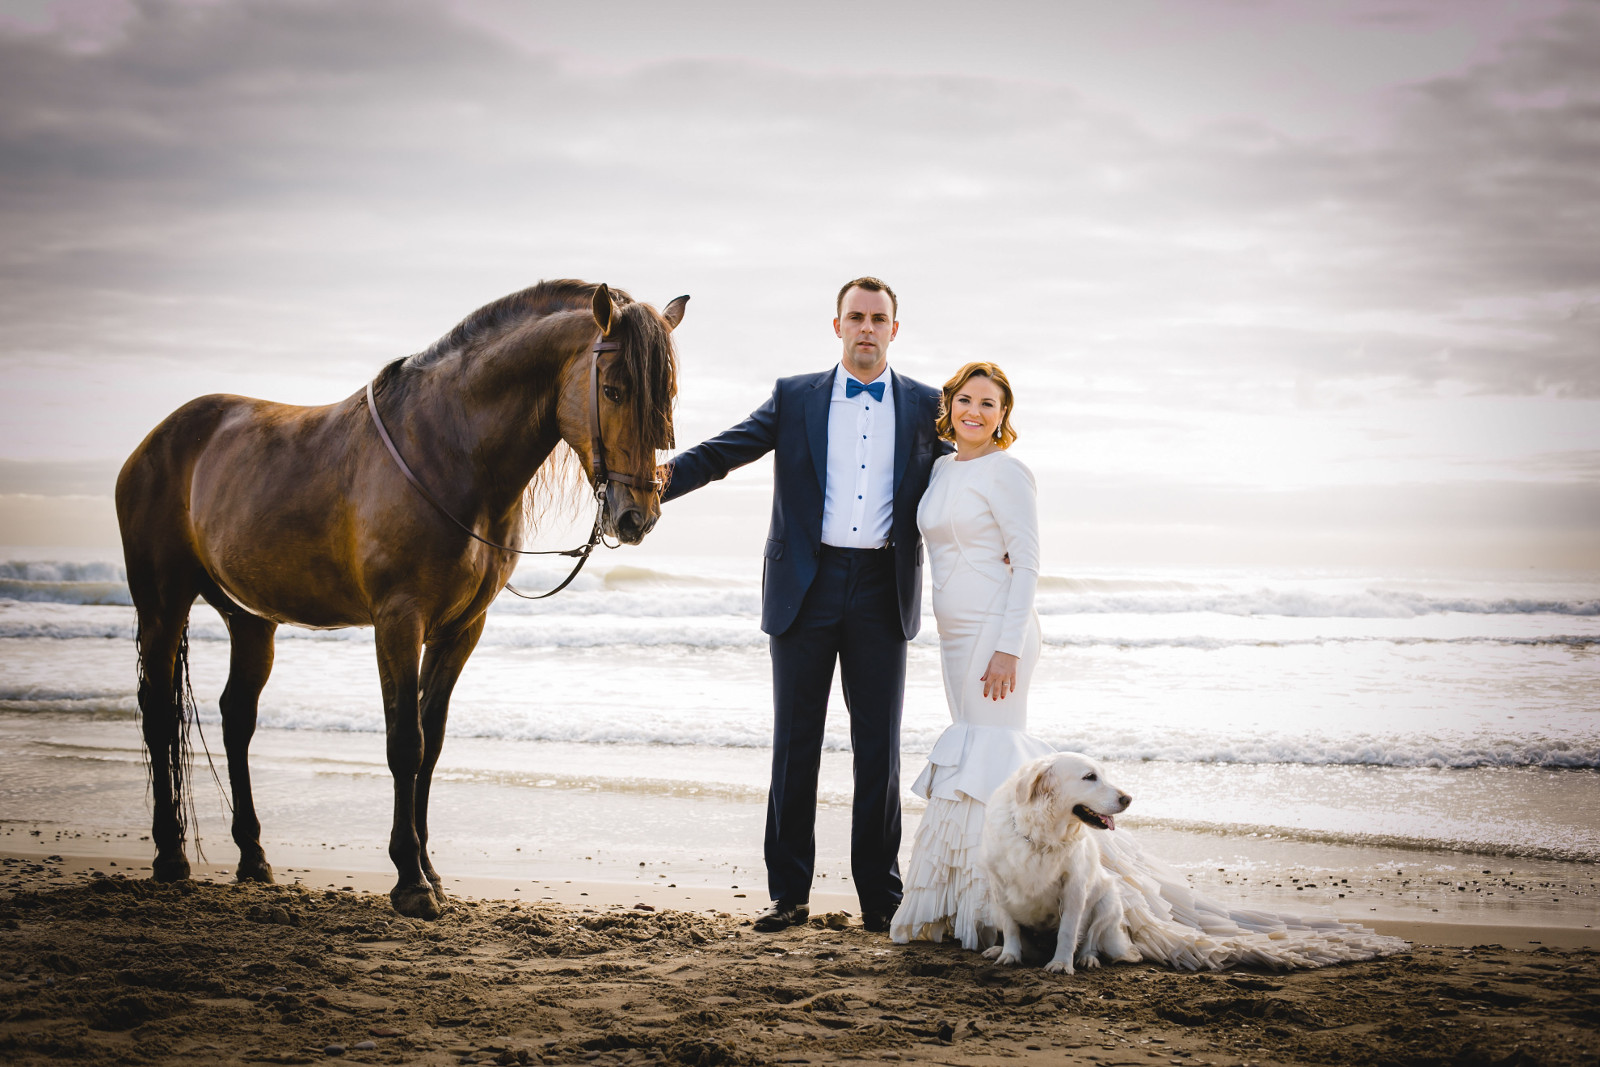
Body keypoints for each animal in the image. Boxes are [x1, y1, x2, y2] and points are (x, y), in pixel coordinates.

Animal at [115, 280, 686, 918]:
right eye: (612, 390)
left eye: (667, 394)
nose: (636, 517)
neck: (450, 452)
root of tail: (156, 441)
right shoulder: (398, 620)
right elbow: (404, 744)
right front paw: (410, 880)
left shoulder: (462, 628)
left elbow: (430, 743)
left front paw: (430, 871)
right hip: (162, 604)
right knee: (158, 715)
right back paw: (170, 854)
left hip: (251, 620)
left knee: (237, 719)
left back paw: (253, 857)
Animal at [979, 752, 1141, 974]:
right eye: (1090, 777)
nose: (1128, 799)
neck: (1042, 837)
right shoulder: (999, 886)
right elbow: (1011, 926)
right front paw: (1009, 955)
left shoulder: (1075, 887)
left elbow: (1067, 931)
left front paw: (1062, 963)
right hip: (993, 908)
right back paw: (998, 950)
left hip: (1107, 903)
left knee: (1091, 940)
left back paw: (1087, 959)